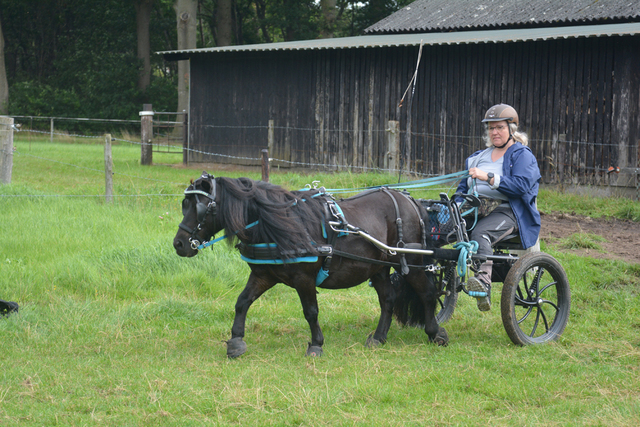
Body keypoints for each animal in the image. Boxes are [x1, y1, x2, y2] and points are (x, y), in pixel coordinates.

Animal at [172, 173, 448, 358]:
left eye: (200, 207)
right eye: (184, 204)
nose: (179, 244)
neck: (277, 223)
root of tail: (409, 200)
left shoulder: (304, 279)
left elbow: (310, 312)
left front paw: (316, 344)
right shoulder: (263, 275)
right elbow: (242, 302)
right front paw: (236, 341)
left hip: (411, 262)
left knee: (427, 293)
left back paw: (435, 333)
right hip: (378, 267)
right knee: (388, 300)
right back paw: (379, 338)